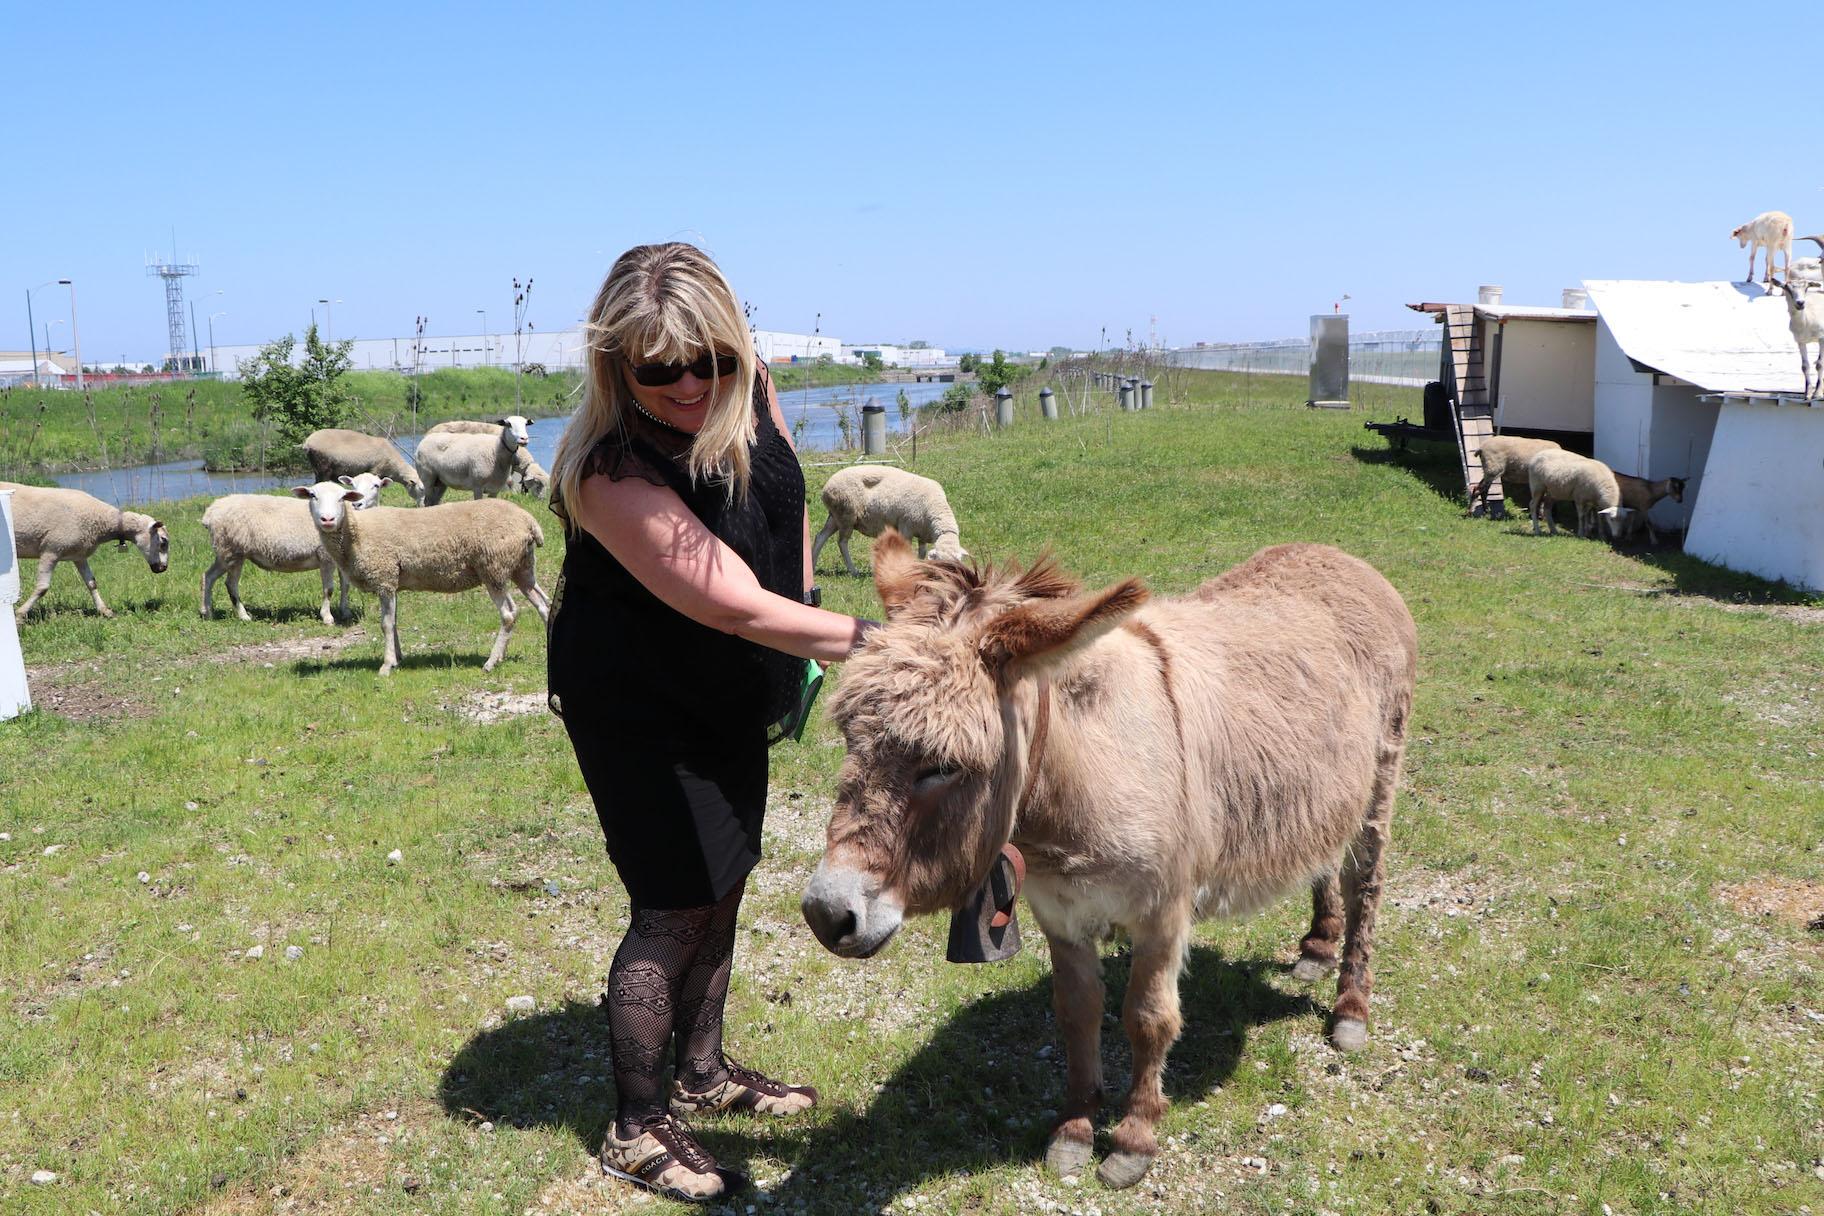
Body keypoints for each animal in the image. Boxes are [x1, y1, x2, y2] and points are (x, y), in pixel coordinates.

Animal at [0, 481, 169, 623]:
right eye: (163, 541)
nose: (163, 568)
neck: (101, 520)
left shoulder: (79, 555)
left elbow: (92, 583)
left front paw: (105, 611)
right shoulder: (51, 550)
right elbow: (42, 588)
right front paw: (20, 615)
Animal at [198, 474, 384, 627]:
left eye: (376, 485)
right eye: (312, 495)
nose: (327, 519)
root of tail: (210, 513)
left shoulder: (340, 557)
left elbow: (345, 585)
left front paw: (345, 612)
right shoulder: (325, 558)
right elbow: (329, 589)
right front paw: (327, 617)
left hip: (224, 552)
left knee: (208, 576)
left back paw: (207, 613)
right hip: (232, 551)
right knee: (230, 584)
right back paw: (244, 616)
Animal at [813, 466, 970, 579]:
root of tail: (826, 487)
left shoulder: (922, 533)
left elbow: (922, 552)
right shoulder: (906, 527)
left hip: (835, 516)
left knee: (820, 536)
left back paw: (813, 565)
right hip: (846, 514)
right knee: (842, 542)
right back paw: (853, 571)